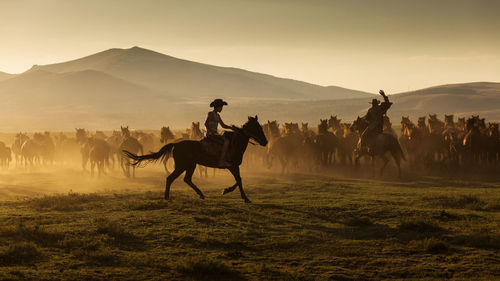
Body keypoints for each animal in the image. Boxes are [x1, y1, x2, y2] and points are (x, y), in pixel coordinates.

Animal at [123, 115, 268, 202]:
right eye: (257, 127)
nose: (265, 142)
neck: (235, 143)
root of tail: (175, 144)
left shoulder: (233, 167)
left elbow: (239, 180)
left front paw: (230, 192)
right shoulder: (232, 166)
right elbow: (239, 180)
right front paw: (237, 195)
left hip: (190, 165)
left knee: (187, 179)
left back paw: (200, 194)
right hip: (182, 165)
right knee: (170, 178)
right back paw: (167, 197)